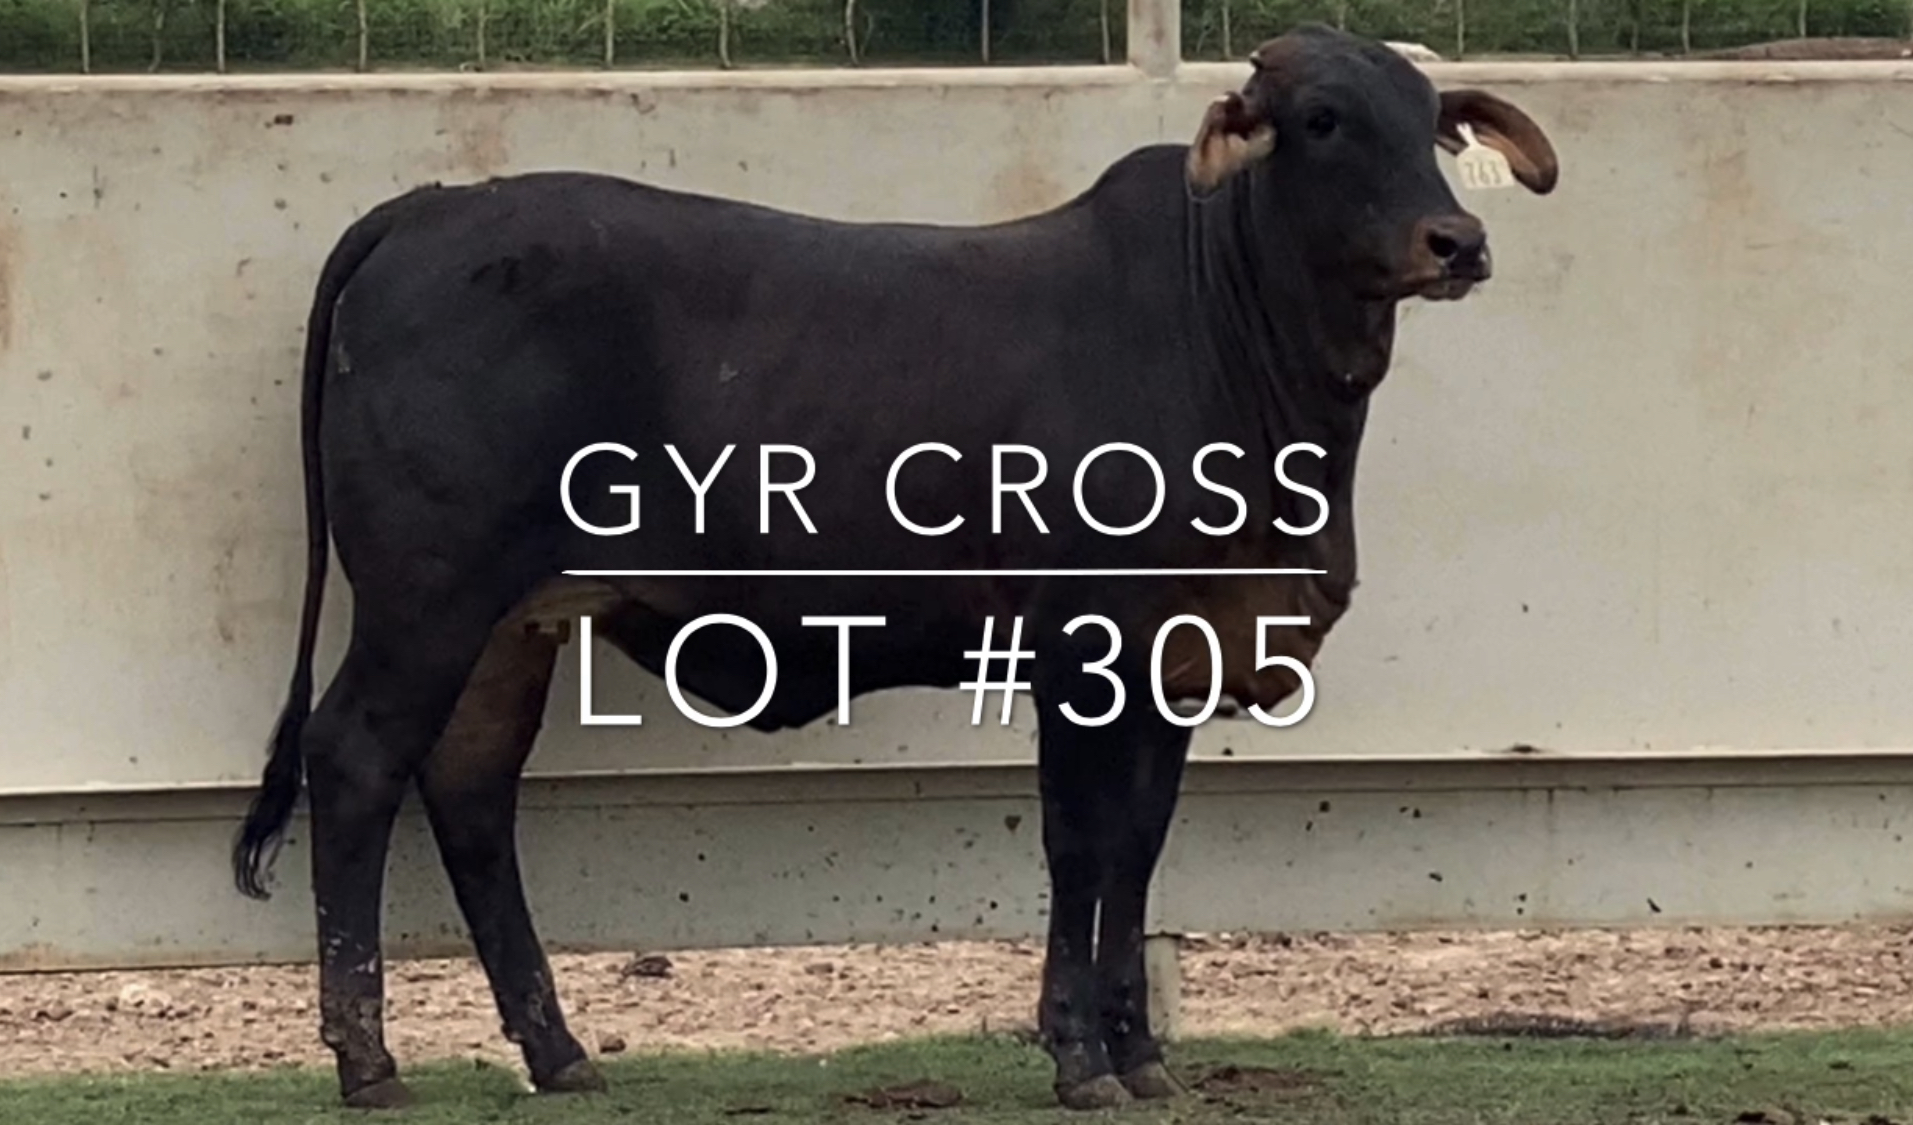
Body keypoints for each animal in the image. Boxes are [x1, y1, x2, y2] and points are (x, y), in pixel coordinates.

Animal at [228, 22, 1558, 1112]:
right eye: (1323, 120)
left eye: (1432, 120)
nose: (1456, 240)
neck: (1235, 348)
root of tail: (430, 208)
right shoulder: (1079, 650)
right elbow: (1081, 843)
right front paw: (1078, 1055)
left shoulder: (1168, 663)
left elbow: (1137, 848)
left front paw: (1139, 1053)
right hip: (425, 596)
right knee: (355, 762)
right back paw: (368, 1061)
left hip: (513, 623)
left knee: (468, 790)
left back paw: (558, 1054)